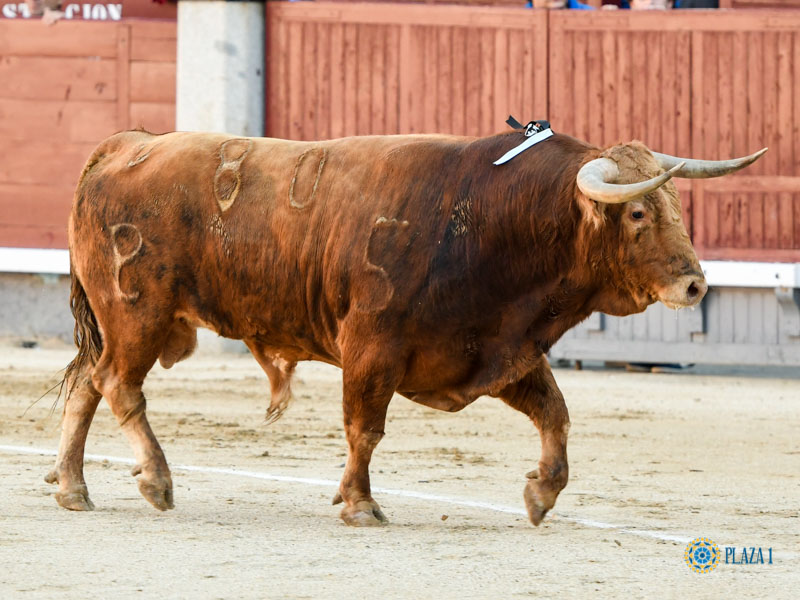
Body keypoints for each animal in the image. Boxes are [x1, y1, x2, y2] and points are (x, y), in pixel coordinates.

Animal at [45, 126, 764, 524]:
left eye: (674, 205)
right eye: (638, 214)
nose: (694, 283)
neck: (490, 216)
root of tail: (130, 144)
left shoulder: (495, 347)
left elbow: (555, 414)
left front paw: (542, 493)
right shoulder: (371, 347)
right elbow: (365, 428)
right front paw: (360, 503)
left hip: (124, 322)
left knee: (86, 384)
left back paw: (75, 488)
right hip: (138, 313)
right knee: (119, 386)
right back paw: (156, 481)